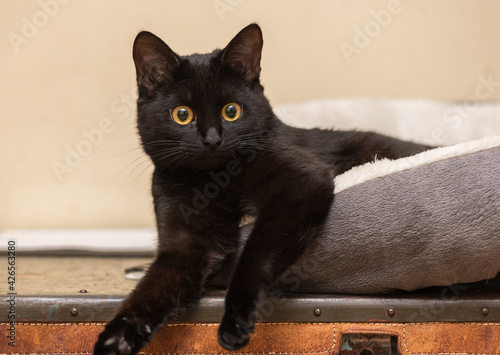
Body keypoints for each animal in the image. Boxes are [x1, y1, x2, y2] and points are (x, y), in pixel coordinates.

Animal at [94, 23, 430, 354]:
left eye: (232, 111)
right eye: (182, 114)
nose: (212, 139)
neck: (213, 182)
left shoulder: (300, 182)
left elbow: (256, 253)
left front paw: (235, 322)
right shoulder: (184, 244)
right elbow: (150, 290)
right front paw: (116, 337)